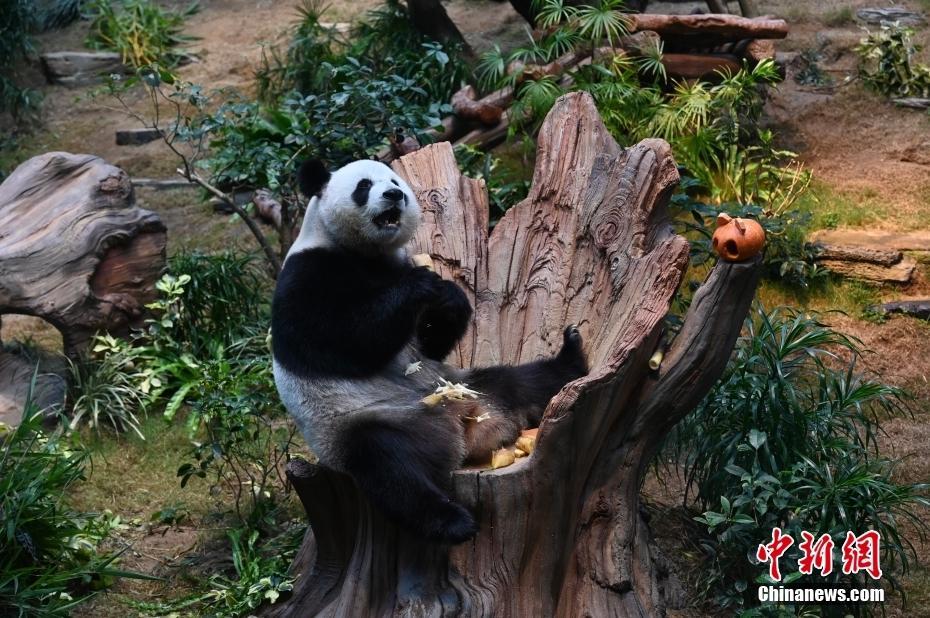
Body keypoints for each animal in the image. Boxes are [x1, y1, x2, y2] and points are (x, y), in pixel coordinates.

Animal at [268, 156, 588, 540]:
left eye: (395, 182)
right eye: (364, 186)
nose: (393, 195)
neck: (365, 253)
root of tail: (461, 431)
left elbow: (432, 346)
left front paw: (449, 299)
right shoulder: (308, 274)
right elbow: (336, 341)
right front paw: (420, 286)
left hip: (469, 385)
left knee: (523, 381)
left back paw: (571, 357)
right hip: (360, 424)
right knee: (390, 468)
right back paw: (453, 522)